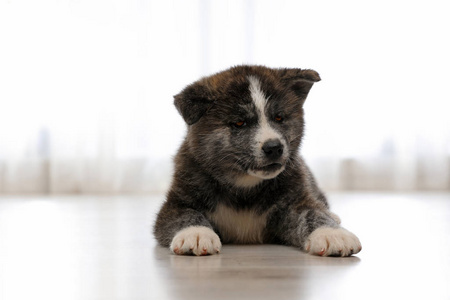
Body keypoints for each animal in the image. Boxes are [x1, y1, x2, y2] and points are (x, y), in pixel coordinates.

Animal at [155, 66, 362, 258]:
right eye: (240, 123)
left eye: (279, 117)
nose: (274, 147)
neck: (243, 189)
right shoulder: (175, 204)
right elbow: (186, 215)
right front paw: (196, 233)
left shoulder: (294, 202)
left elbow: (312, 213)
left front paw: (331, 233)